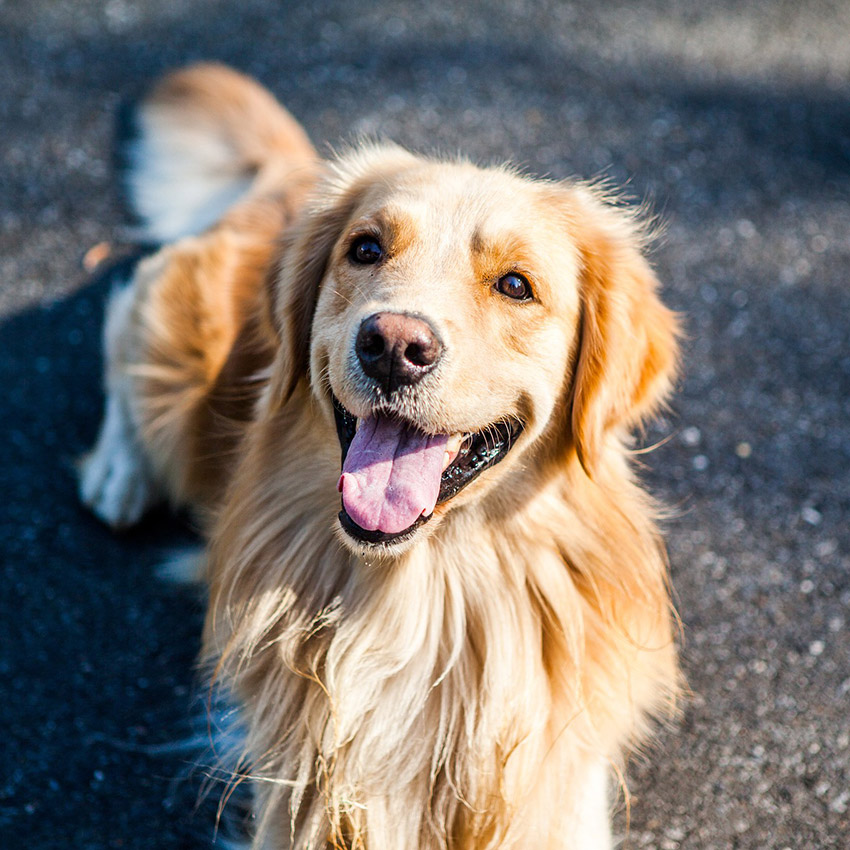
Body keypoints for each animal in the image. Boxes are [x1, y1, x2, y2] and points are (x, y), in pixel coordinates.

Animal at [78, 63, 676, 844]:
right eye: (365, 249)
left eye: (516, 285)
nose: (392, 345)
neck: (423, 595)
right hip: (174, 367)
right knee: (123, 320)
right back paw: (117, 470)